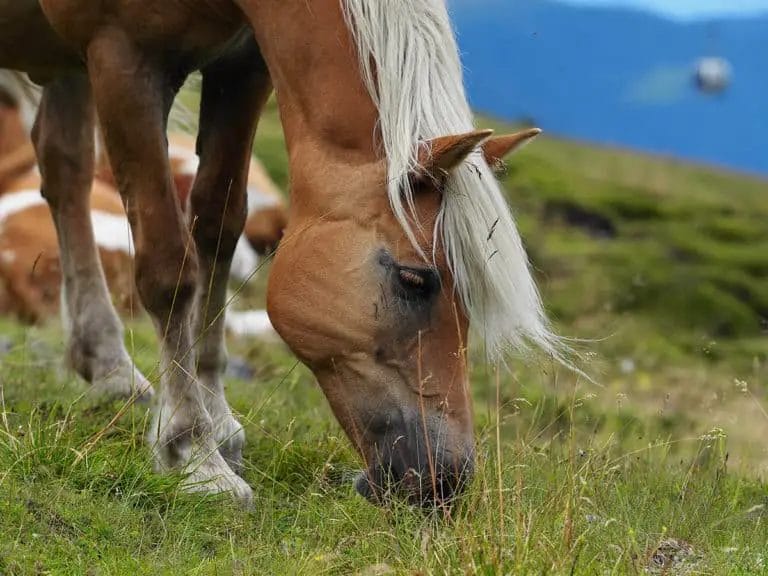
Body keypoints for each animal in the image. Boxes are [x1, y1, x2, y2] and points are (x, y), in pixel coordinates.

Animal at [1, 0, 558, 506]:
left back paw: (108, 365)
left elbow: (218, 226)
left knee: (66, 166)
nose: (448, 479)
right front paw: (194, 452)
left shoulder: (242, 67)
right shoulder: (121, 57)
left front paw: (219, 423)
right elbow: (169, 266)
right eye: (413, 280)